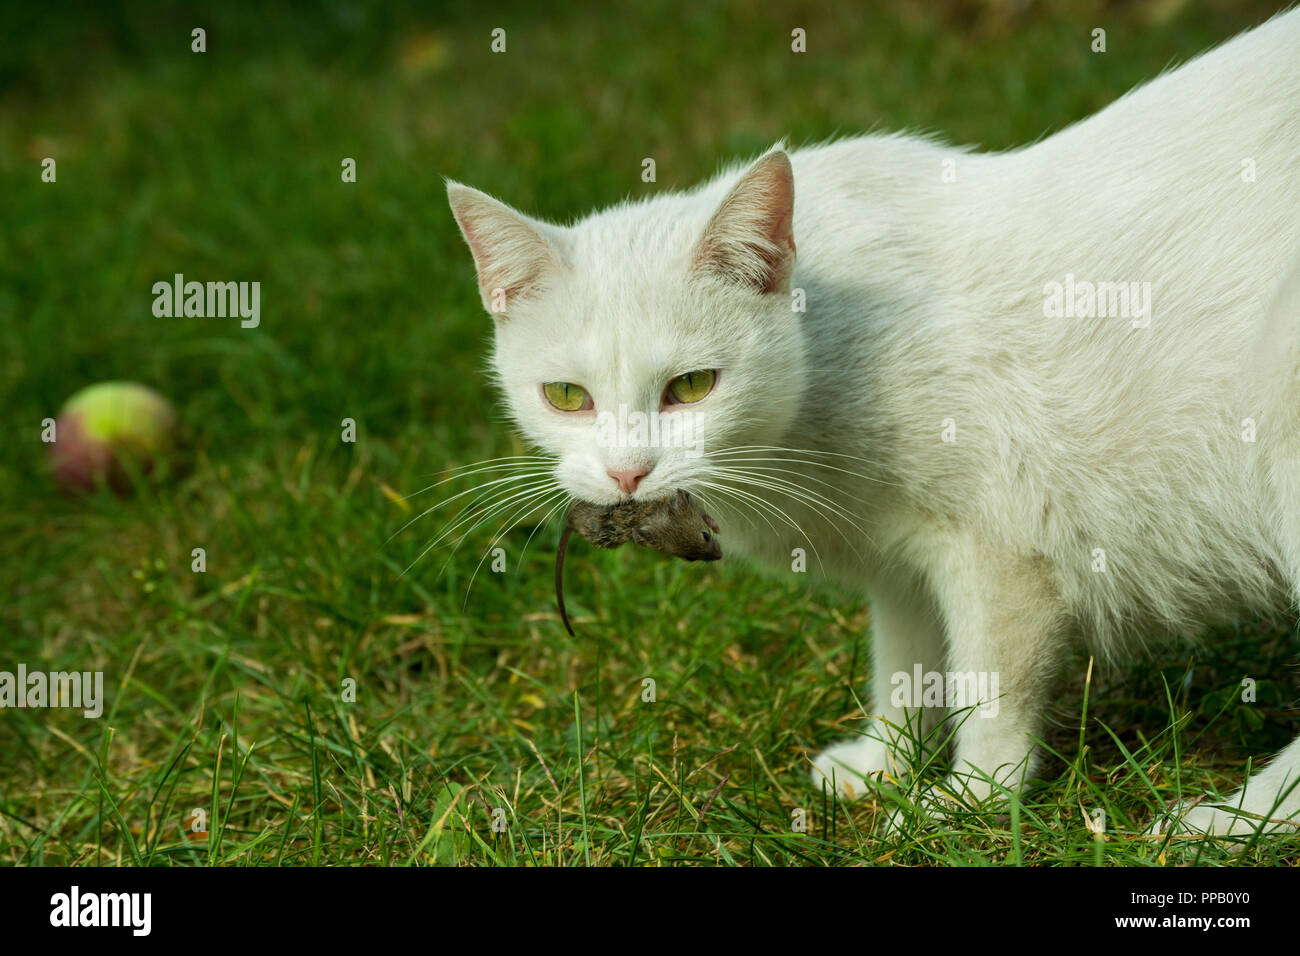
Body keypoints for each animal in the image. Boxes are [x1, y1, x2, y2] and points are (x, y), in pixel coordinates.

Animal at [447, 13, 1300, 837]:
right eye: (566, 396)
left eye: (691, 387)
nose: (628, 472)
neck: (832, 355)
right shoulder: (903, 561)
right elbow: (905, 666)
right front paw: (884, 764)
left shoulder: (1001, 552)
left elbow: (991, 692)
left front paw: (971, 803)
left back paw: (1234, 821)